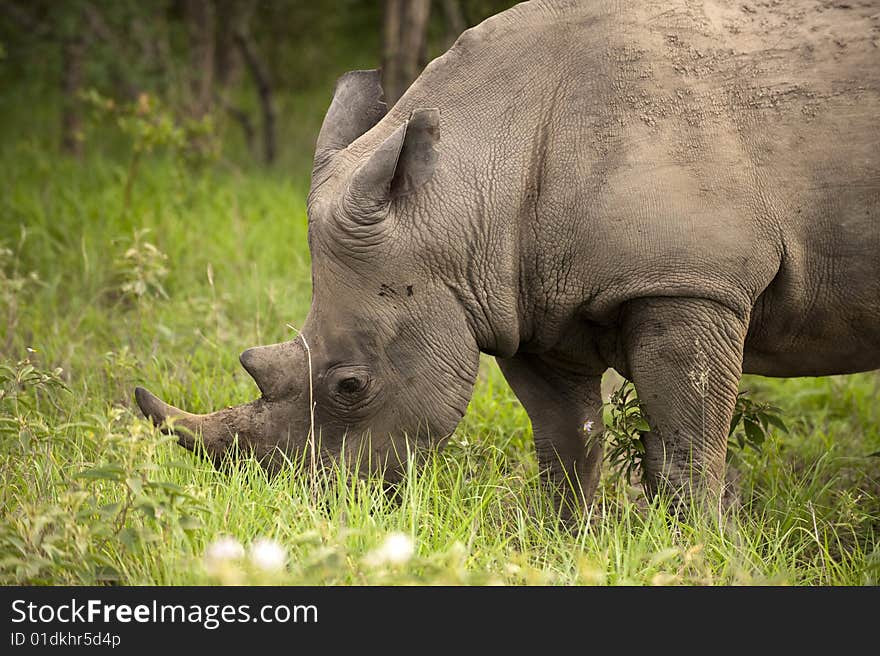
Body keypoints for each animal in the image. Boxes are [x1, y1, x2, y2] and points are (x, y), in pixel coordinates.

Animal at [132, 1, 880, 516]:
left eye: (350, 386)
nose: (315, 508)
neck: (465, 182)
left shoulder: (690, 282)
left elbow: (687, 450)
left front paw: (695, 547)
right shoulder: (527, 304)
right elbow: (566, 443)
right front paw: (568, 541)